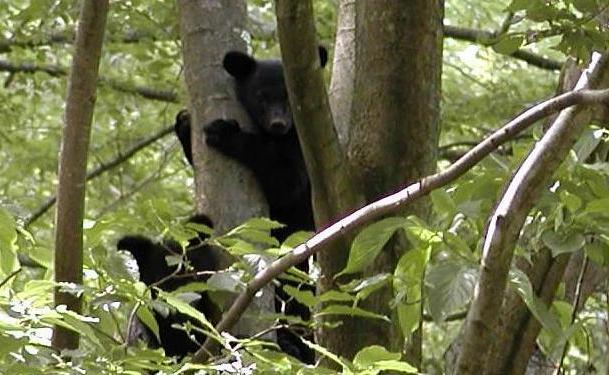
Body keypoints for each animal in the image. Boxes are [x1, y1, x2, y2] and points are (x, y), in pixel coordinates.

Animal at [172, 48, 328, 366]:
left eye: (288, 96)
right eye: (261, 96)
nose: (279, 123)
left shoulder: (302, 146)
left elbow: (287, 181)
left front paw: (225, 134)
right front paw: (184, 123)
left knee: (294, 291)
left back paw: (295, 343)